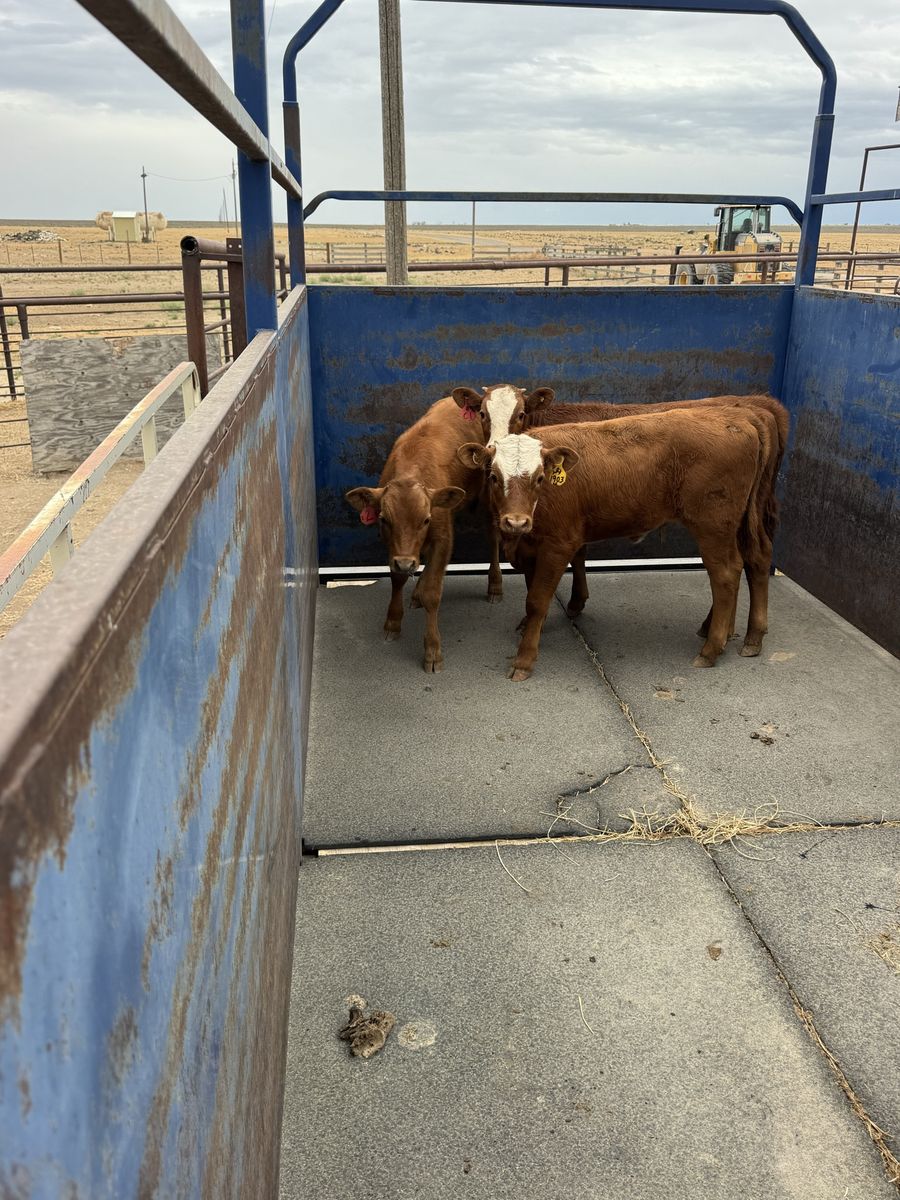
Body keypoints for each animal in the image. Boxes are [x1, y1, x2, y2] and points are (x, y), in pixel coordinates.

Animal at [345, 396, 501, 672]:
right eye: (384, 519)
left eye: (426, 519)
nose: (407, 563)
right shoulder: (395, 549)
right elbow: (398, 578)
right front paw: (393, 622)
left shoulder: (442, 538)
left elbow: (433, 592)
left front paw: (432, 650)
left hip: (486, 498)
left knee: (493, 538)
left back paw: (495, 586)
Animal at [457, 405, 778, 681]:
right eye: (493, 476)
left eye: (539, 478)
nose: (516, 522)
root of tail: (740, 416)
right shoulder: (531, 547)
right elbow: (531, 593)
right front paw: (529, 627)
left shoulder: (558, 545)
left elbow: (536, 600)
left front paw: (524, 659)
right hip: (740, 522)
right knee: (754, 559)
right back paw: (748, 636)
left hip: (713, 525)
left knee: (724, 573)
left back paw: (712, 648)